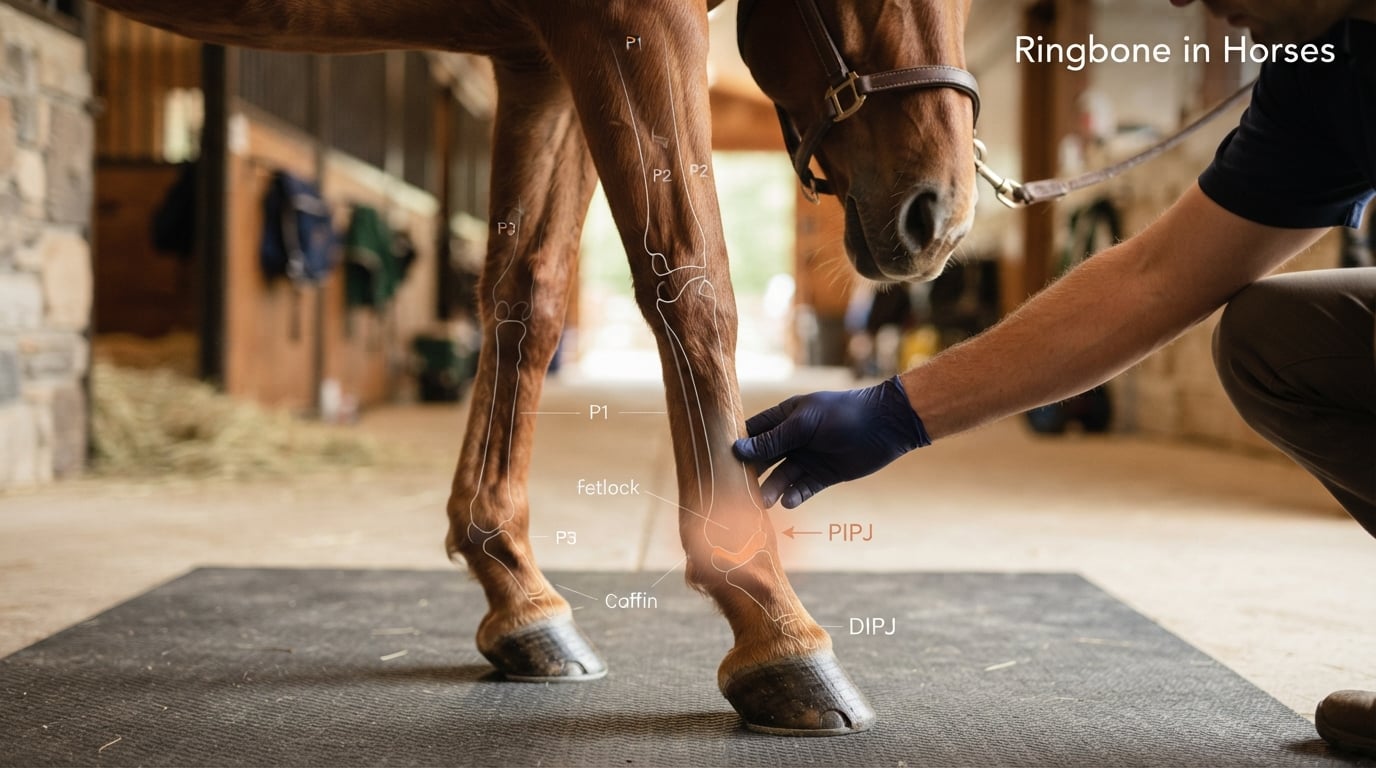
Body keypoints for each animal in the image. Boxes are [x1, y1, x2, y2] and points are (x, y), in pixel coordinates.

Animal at [89, 0, 978, 735]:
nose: (937, 215)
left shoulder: (538, 60)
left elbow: (530, 295)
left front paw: (516, 589)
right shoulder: (631, 20)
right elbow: (691, 281)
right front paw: (777, 628)